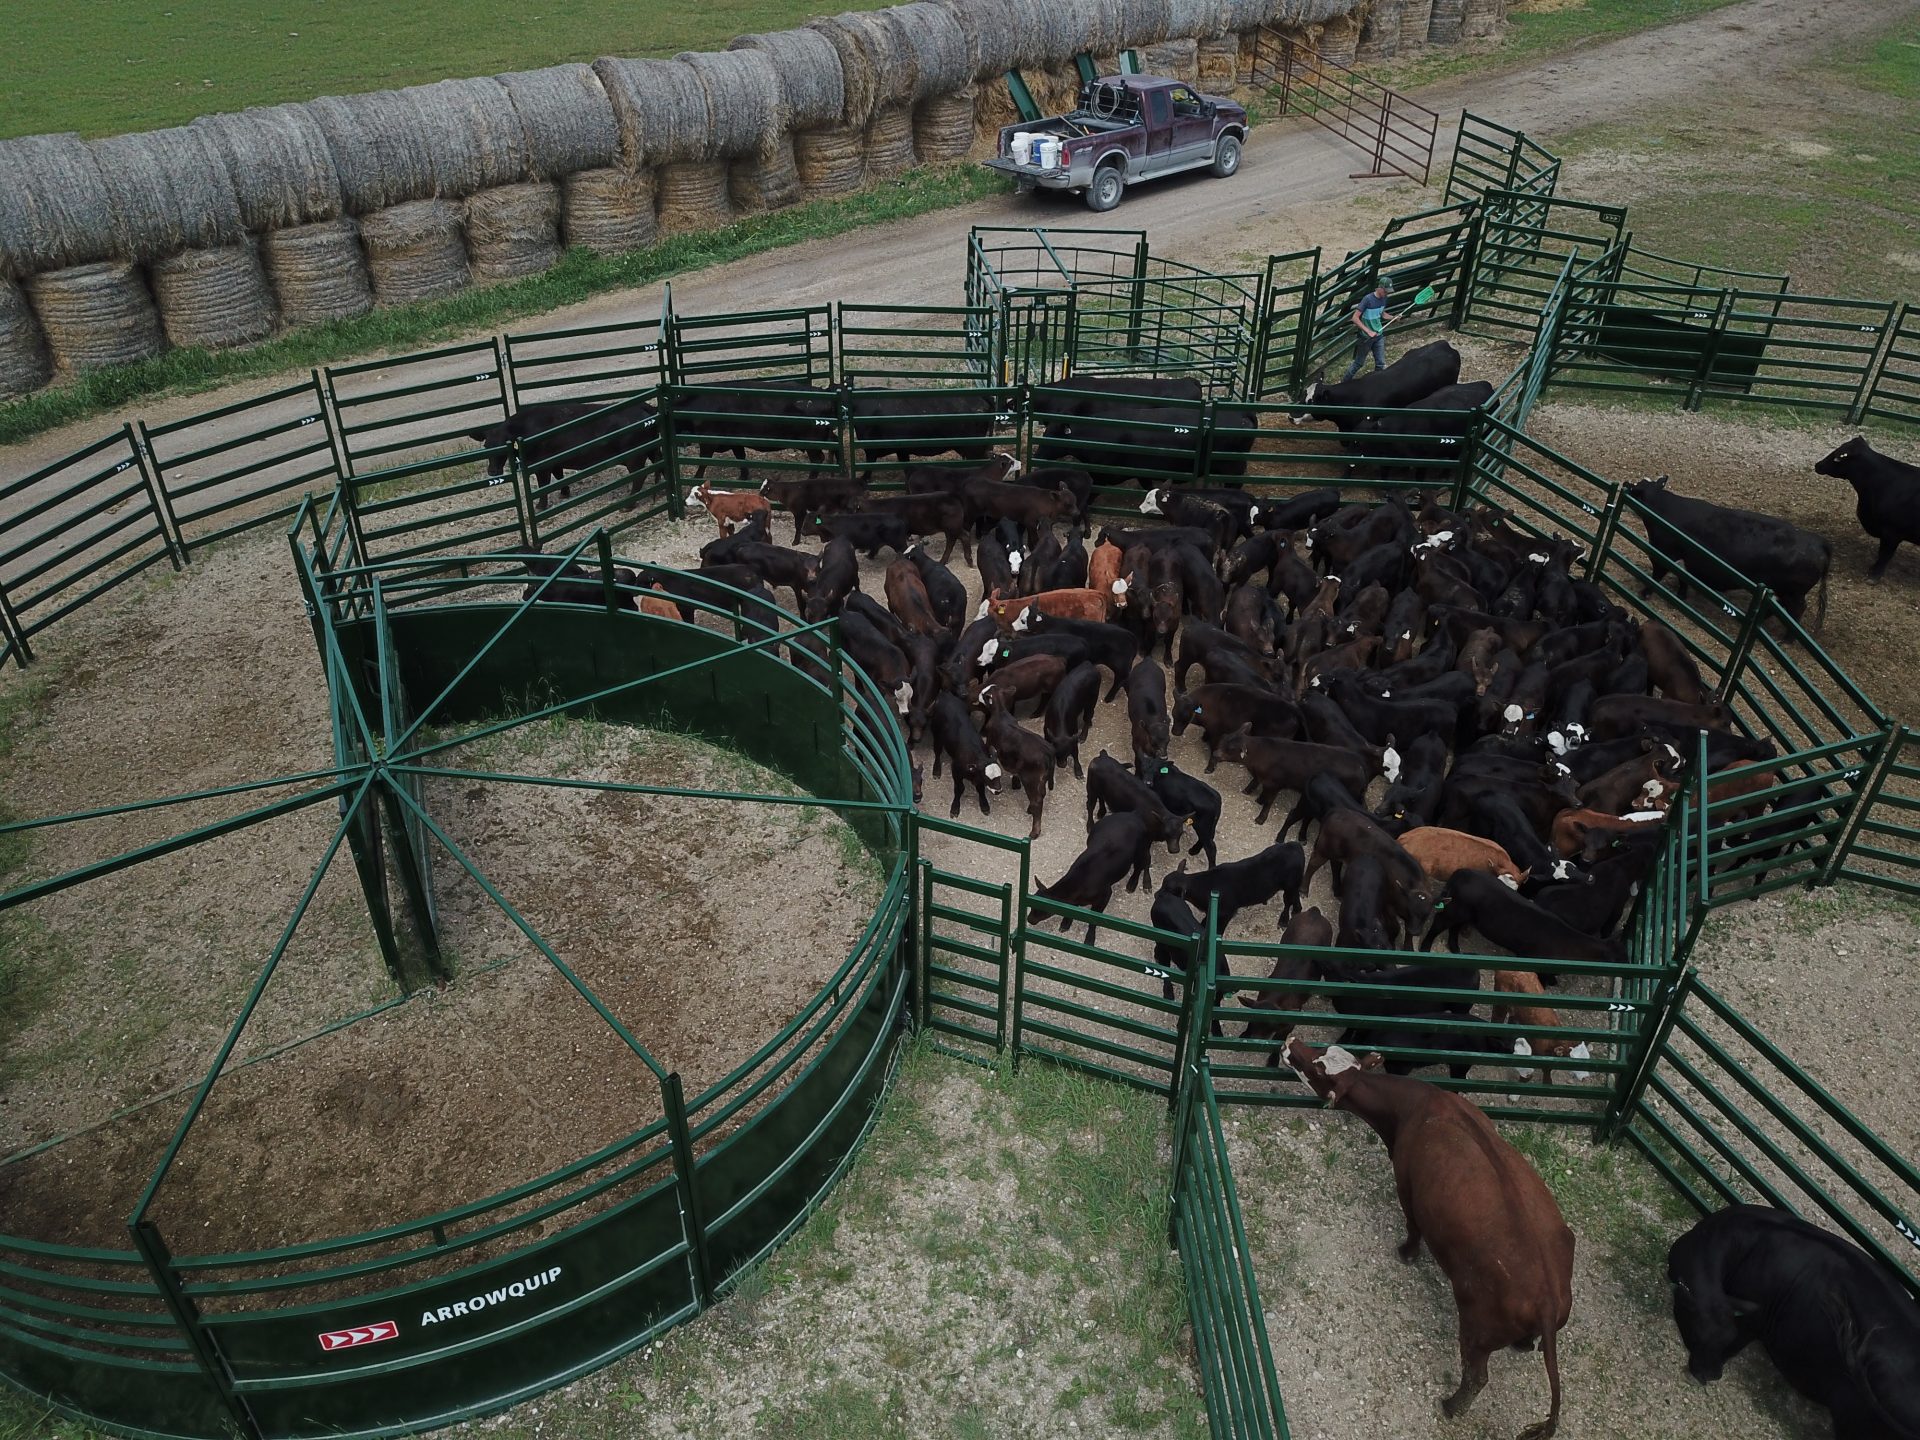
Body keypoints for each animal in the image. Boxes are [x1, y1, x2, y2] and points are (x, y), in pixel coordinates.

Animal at [1628, 476, 1835, 633]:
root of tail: (1818, 541)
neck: (1664, 507)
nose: (1626, 484)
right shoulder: (1686, 559)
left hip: (1793, 593)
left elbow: (1658, 574)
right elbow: (1683, 578)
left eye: (1636, 489)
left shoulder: (1663, 553)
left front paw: (1645, 593)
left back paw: (1786, 639)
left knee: (1797, 610)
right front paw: (1680, 596)